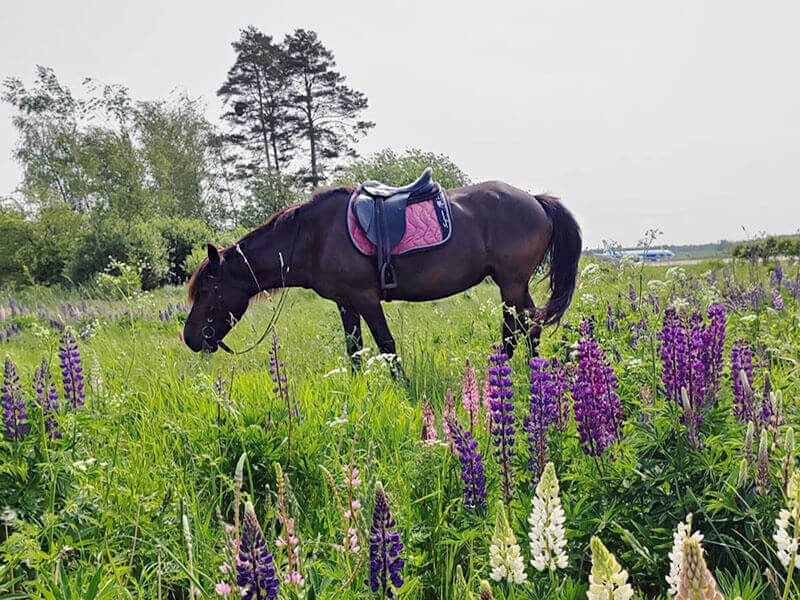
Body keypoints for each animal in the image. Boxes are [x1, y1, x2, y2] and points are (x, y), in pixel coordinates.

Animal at [183, 180, 582, 365]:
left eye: (207, 290)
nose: (190, 338)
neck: (313, 235)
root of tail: (535, 200)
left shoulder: (365, 298)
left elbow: (387, 346)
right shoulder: (345, 303)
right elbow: (354, 351)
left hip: (511, 284)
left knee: (520, 329)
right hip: (514, 286)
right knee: (527, 327)